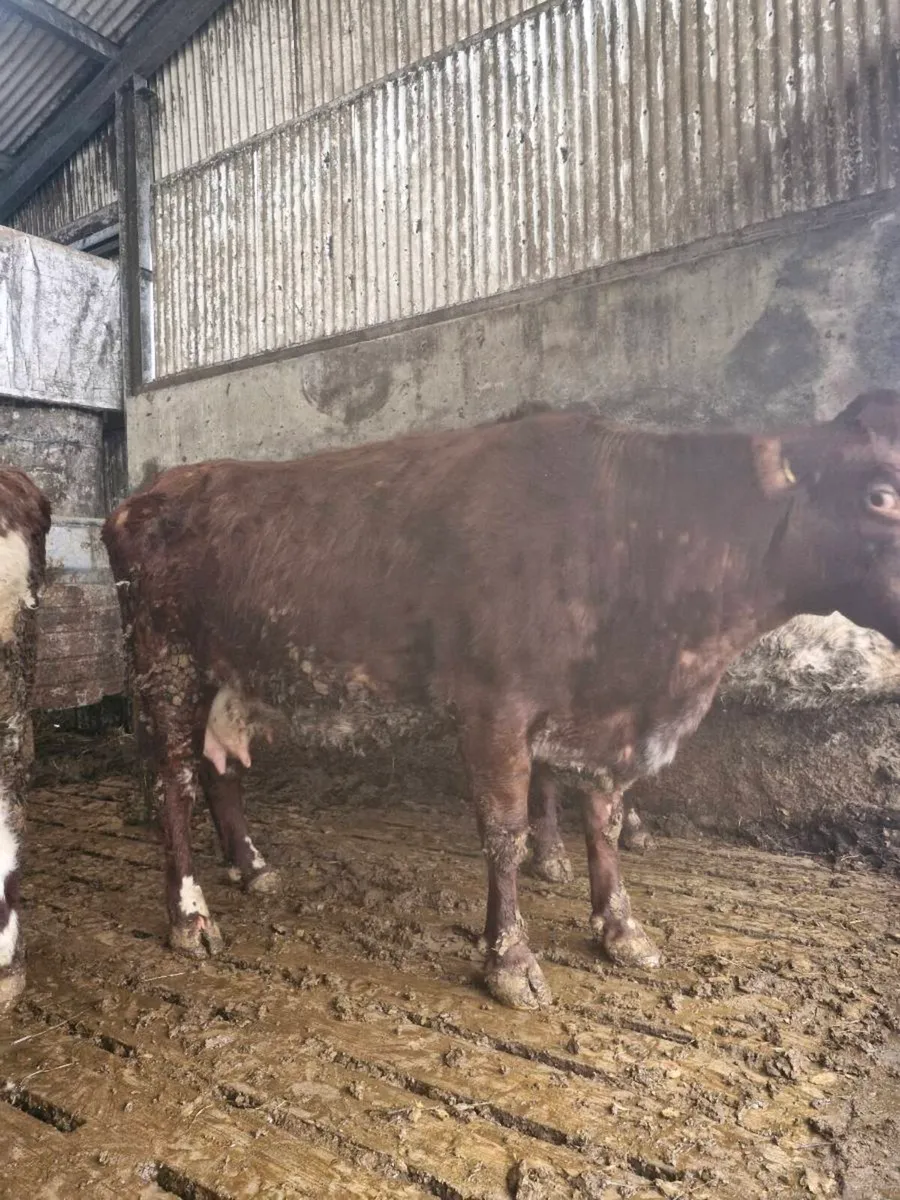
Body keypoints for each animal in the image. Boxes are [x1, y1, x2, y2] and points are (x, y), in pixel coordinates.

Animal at [102, 389, 900, 1011]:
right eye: (880, 494)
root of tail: (145, 495)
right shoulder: (494, 706)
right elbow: (505, 830)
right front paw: (510, 959)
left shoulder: (606, 720)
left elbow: (605, 822)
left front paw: (621, 929)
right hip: (164, 660)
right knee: (173, 778)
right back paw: (189, 914)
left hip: (229, 672)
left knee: (219, 768)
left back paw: (253, 866)